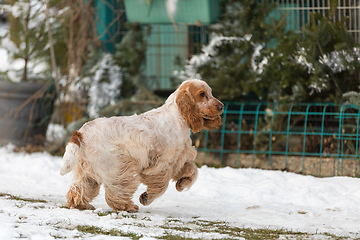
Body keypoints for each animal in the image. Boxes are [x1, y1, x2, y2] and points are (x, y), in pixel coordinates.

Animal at [60, 79, 224, 212]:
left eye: (210, 92)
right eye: (202, 94)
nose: (222, 106)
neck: (177, 117)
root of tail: (81, 133)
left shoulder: (178, 158)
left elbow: (193, 171)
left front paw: (182, 183)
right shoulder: (162, 163)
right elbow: (161, 185)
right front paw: (146, 197)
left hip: (90, 172)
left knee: (78, 189)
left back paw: (81, 205)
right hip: (117, 168)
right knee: (116, 193)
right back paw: (129, 207)